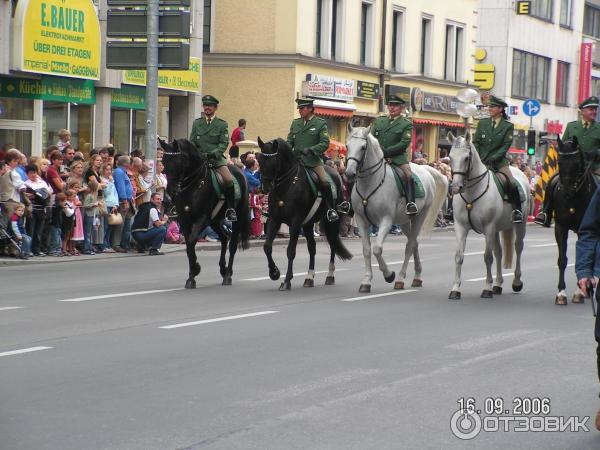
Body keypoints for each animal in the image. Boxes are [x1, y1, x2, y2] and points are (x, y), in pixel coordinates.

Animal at [158, 138, 250, 288]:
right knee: (224, 238)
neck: (194, 185)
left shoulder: (202, 218)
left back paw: (227, 275)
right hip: (215, 220)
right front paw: (192, 274)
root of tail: (239, 170)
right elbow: (189, 246)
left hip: (236, 218)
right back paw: (223, 269)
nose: (171, 191)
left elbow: (191, 241)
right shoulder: (184, 220)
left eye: (179, 162)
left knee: (232, 245)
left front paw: (194, 271)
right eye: (164, 161)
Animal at [254, 138, 350, 292]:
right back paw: (309, 278)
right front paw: (274, 273)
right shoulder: (275, 220)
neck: (287, 185)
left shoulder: (295, 222)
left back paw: (330, 276)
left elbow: (290, 251)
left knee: (333, 245)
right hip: (308, 224)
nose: (264, 188)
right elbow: (267, 246)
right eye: (260, 159)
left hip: (332, 222)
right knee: (312, 247)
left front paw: (286, 280)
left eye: (274, 160)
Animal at [344, 124, 448, 292]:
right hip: (404, 221)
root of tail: (425, 169)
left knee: (410, 245)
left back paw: (400, 278)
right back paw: (417, 277)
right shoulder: (361, 220)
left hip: (419, 216)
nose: (349, 173)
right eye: (347, 146)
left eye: (363, 147)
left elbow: (377, 249)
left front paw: (388, 275)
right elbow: (366, 250)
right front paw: (366, 281)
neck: (371, 183)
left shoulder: (386, 220)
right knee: (414, 243)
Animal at [448, 131, 528, 298]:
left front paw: (486, 288)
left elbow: (487, 257)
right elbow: (459, 256)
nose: (456, 187)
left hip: (520, 224)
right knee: (499, 252)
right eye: (450, 157)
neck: (472, 193)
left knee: (518, 248)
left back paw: (516, 282)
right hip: (497, 229)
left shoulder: (489, 227)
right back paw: (497, 284)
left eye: (466, 158)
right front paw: (455, 289)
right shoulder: (461, 227)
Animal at [552, 137, 596, 306]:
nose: (567, 192)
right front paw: (561, 293)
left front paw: (578, 292)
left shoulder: (584, 230)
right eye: (559, 162)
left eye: (576, 162)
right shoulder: (560, 227)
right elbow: (562, 260)